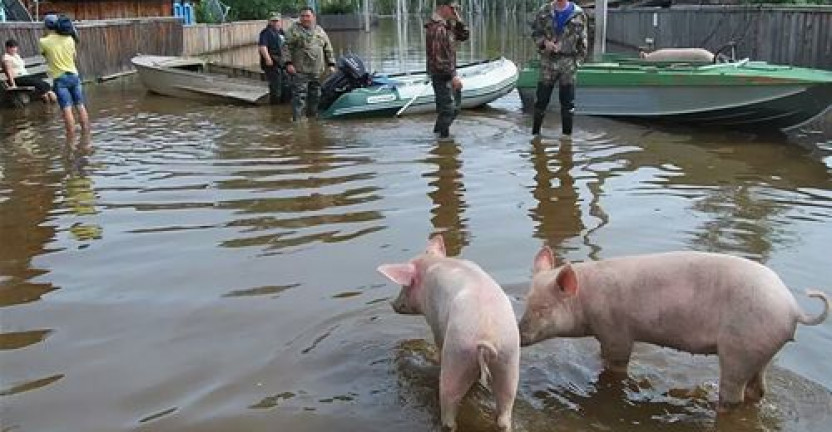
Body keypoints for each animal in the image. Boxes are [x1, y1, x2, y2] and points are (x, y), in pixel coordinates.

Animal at [378, 236, 520, 432]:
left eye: (405, 285)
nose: (392, 304)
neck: (432, 263)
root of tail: (486, 337)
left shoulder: (434, 319)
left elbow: (437, 340)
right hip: (508, 359)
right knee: (505, 412)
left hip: (457, 353)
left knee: (449, 408)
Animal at [516, 246, 828, 412]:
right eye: (526, 300)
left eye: (543, 309)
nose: (518, 336)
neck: (587, 300)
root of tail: (793, 308)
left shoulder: (618, 332)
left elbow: (616, 364)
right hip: (763, 353)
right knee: (759, 389)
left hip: (741, 348)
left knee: (734, 396)